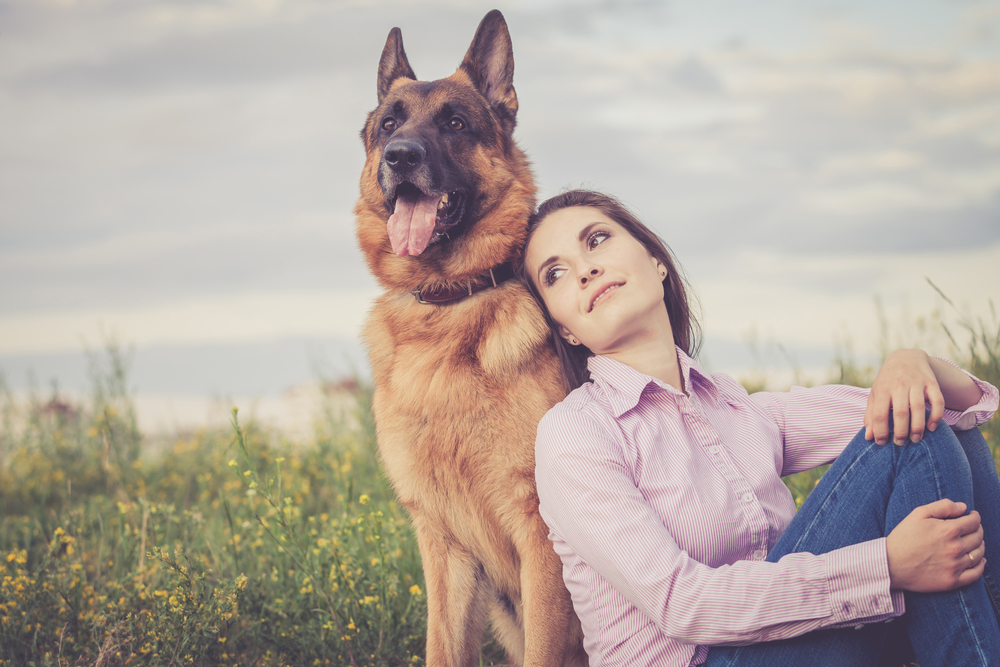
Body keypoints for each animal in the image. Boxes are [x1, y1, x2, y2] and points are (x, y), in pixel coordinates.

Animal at [356, 9, 584, 667]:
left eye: (455, 123)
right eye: (388, 125)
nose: (400, 156)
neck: (447, 305)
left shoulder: (540, 538)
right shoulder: (443, 545)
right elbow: (443, 647)